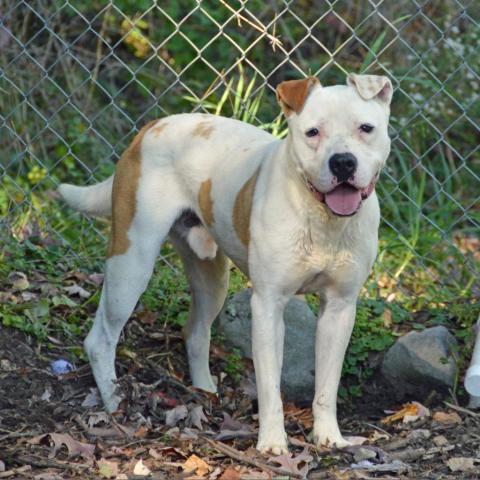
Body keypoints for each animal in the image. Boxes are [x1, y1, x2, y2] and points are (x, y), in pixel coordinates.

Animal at [59, 73, 394, 452]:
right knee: (101, 338)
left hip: (211, 277)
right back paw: (115, 403)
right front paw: (272, 443)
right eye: (312, 132)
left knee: (195, 331)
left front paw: (328, 437)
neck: (323, 220)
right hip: (132, 262)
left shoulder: (340, 308)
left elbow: (327, 385)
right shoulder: (267, 305)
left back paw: (204, 392)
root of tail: (151, 126)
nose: (343, 162)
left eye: (365, 128)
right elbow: (269, 385)